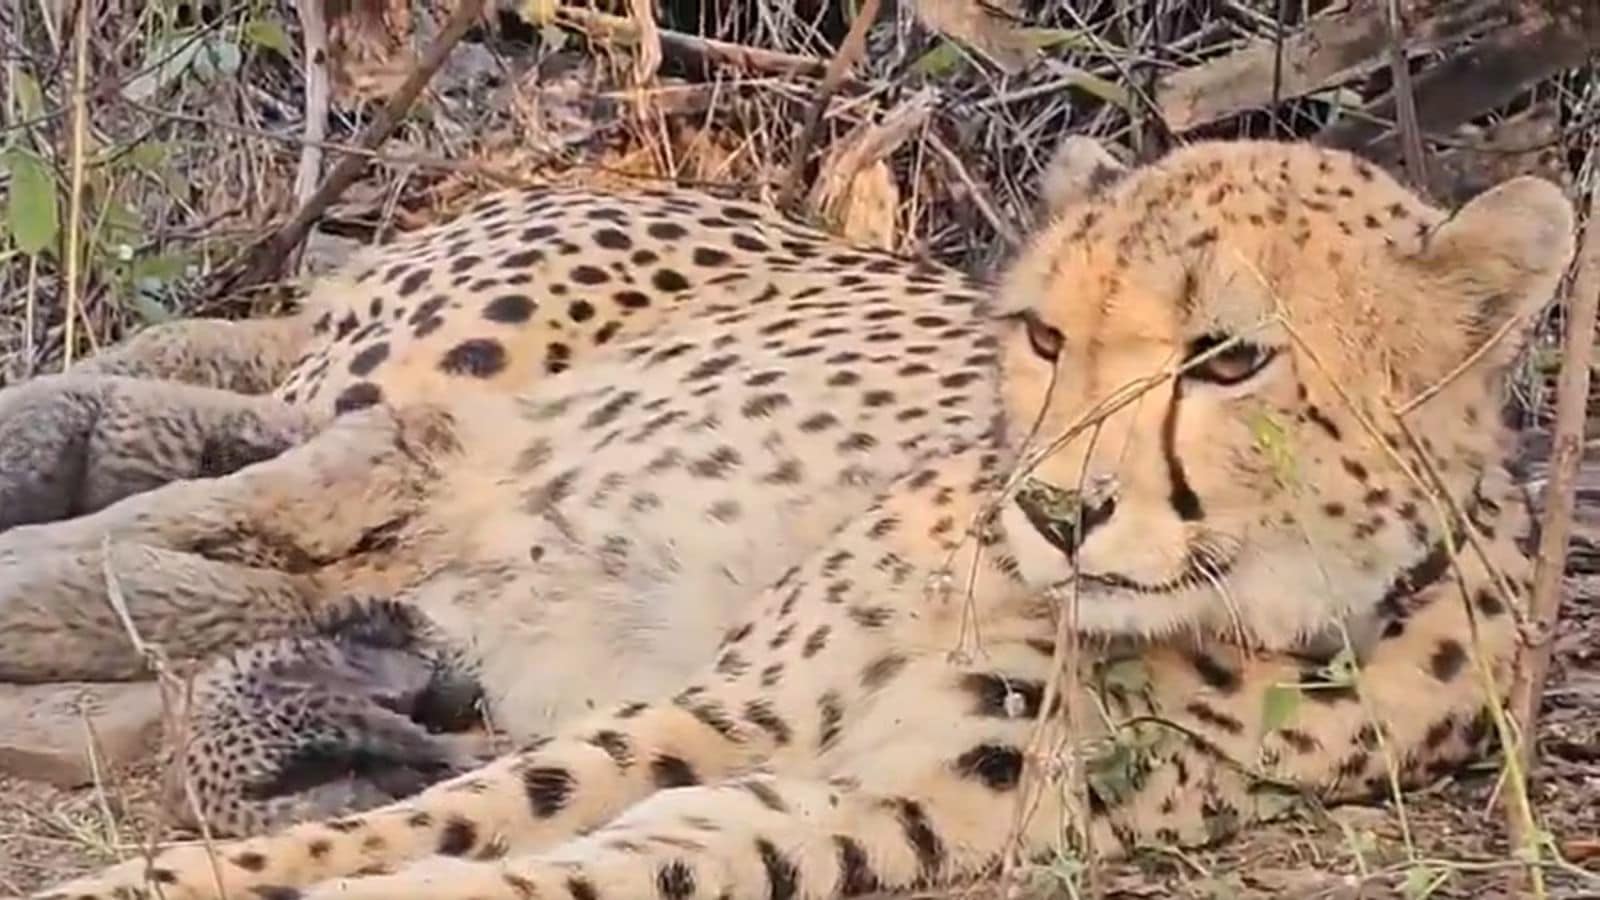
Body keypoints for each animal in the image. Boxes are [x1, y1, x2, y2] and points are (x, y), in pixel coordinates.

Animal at [14, 136, 1574, 900]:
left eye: (1230, 358)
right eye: (1046, 338)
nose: (1052, 507)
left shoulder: (868, 803)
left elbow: (582, 864)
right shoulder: (733, 708)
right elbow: (463, 816)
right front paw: (169, 881)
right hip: (437, 413)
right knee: (175, 533)